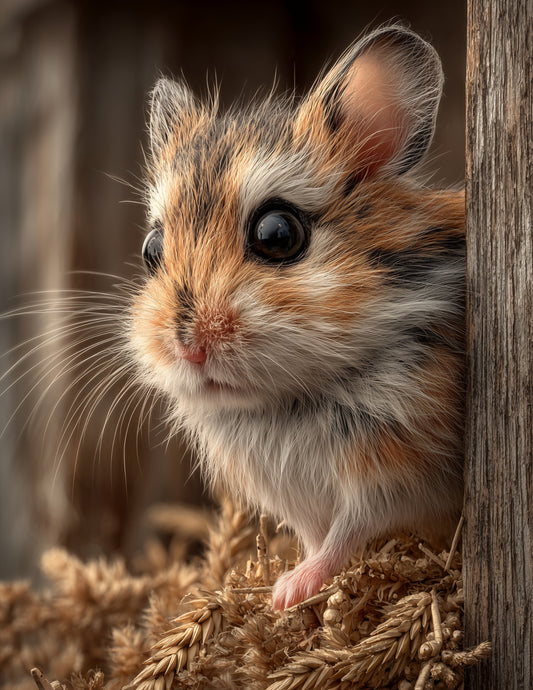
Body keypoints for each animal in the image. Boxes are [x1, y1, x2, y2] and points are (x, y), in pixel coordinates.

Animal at [129, 25, 465, 610]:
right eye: (152, 250)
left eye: (278, 234)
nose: (189, 348)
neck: (286, 401)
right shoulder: (295, 499)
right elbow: (315, 536)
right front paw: (280, 589)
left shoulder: (390, 474)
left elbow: (345, 535)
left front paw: (286, 594)